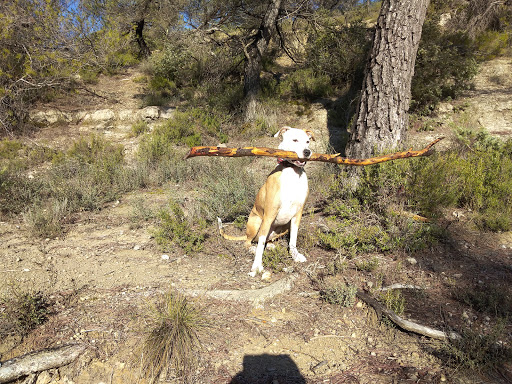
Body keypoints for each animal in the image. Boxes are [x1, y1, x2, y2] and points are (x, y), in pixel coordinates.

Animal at [218, 126, 314, 276]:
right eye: (295, 140)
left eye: (308, 141)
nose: (307, 151)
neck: (292, 172)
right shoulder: (269, 214)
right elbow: (261, 244)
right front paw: (257, 266)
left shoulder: (298, 214)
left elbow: (293, 240)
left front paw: (295, 255)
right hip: (257, 222)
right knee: (250, 241)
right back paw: (252, 248)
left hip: (284, 227)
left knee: (264, 240)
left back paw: (271, 246)